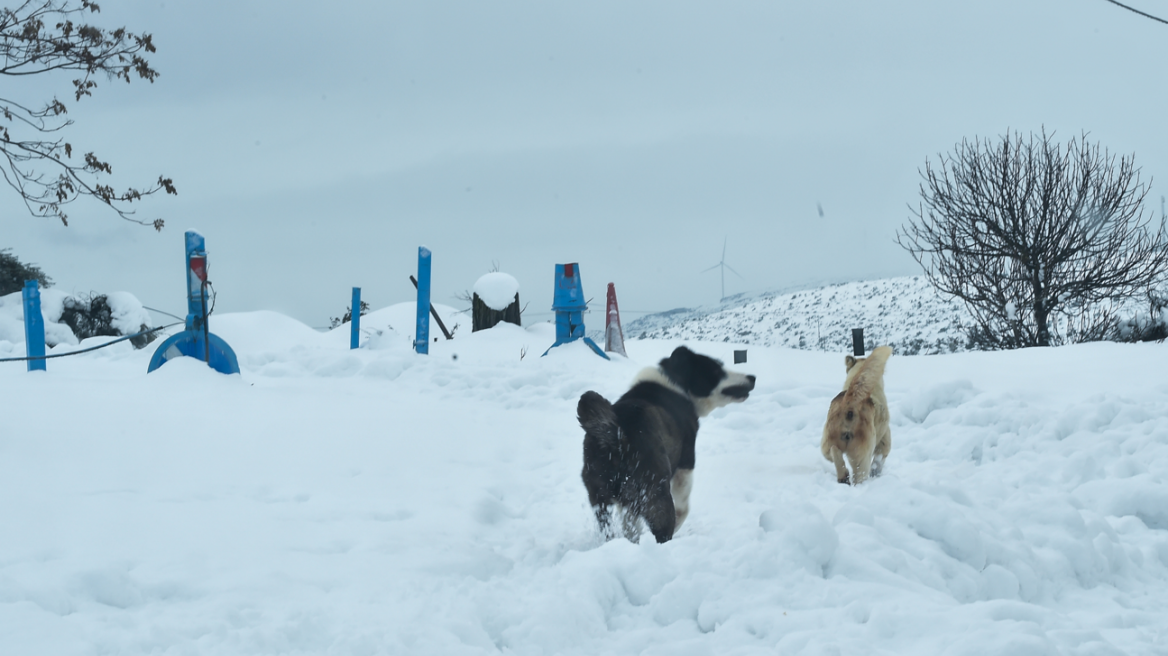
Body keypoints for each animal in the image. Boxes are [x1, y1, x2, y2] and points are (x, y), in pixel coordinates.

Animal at [576, 347, 756, 541]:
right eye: (716, 370)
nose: (752, 377)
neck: (676, 381)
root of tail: (616, 432)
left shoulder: (627, 503)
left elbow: (630, 524)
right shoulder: (685, 466)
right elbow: (683, 509)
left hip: (600, 498)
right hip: (656, 494)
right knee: (663, 530)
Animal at [822, 345, 892, 483]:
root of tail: (850, 402)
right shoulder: (884, 435)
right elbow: (882, 452)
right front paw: (876, 471)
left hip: (829, 436)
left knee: (832, 452)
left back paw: (843, 475)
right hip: (862, 447)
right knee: (860, 472)